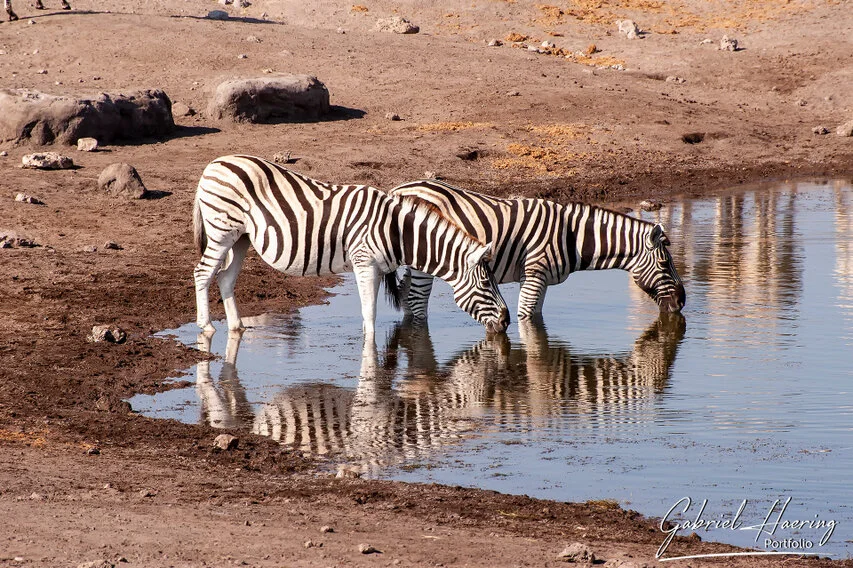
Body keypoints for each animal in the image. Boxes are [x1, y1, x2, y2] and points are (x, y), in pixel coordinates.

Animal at [193, 155, 510, 338]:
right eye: (486, 284)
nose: (506, 323)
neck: (397, 231)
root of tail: (215, 162)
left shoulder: (379, 269)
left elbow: (372, 312)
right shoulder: (364, 263)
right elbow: (369, 316)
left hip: (241, 237)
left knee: (225, 277)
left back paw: (237, 326)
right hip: (222, 230)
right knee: (202, 273)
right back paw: (206, 326)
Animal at [389, 180, 686, 321]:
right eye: (664, 264)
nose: (682, 303)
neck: (573, 236)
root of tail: (399, 189)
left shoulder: (540, 281)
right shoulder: (534, 274)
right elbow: (527, 318)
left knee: (406, 299)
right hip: (425, 260)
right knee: (416, 300)